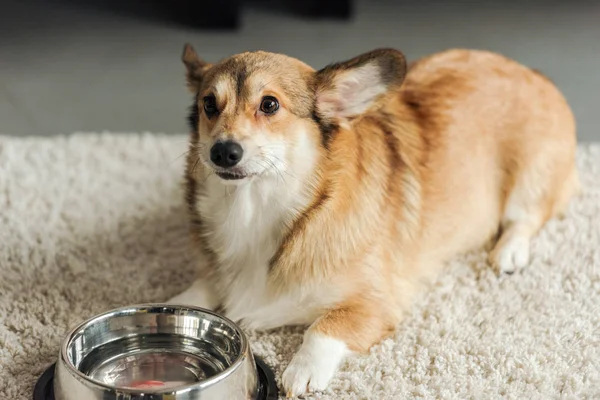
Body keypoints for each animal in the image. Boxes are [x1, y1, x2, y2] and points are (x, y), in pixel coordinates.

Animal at [169, 43, 576, 396]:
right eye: (209, 104)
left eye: (269, 104)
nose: (222, 152)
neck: (256, 211)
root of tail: (530, 71)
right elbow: (198, 292)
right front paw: (175, 301)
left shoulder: (374, 304)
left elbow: (322, 327)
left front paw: (303, 370)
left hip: (530, 178)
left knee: (526, 217)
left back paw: (509, 253)